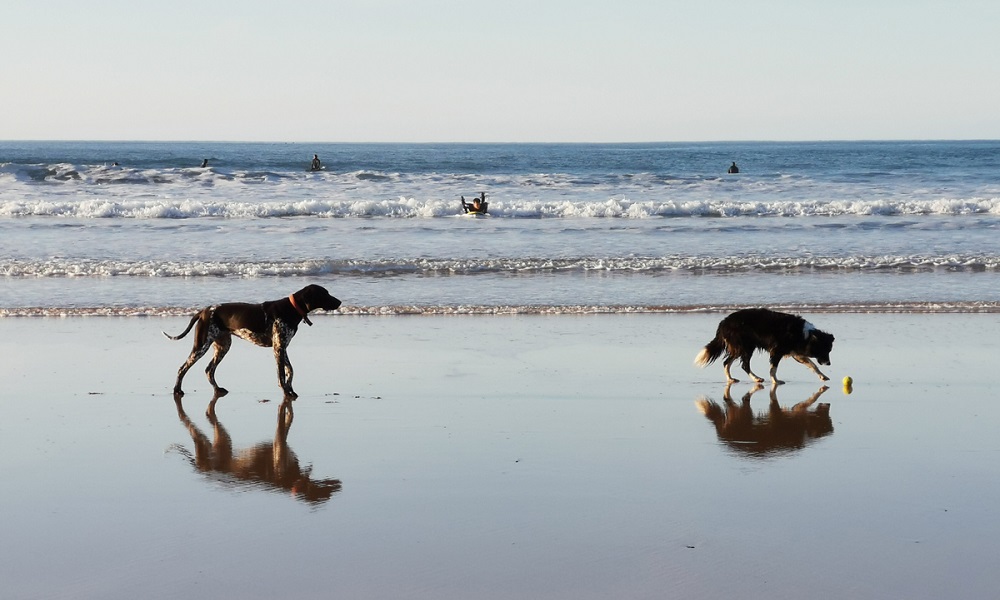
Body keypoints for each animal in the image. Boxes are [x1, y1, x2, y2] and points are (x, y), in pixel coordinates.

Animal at [161, 284, 340, 398]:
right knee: (183, 368)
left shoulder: (282, 347)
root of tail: (203, 311)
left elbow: (290, 370)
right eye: (325, 293)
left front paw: (291, 389)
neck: (292, 309)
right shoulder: (278, 348)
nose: (340, 302)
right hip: (201, 345)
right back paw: (177, 390)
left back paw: (217, 389)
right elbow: (281, 375)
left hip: (223, 346)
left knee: (209, 370)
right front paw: (286, 392)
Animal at [696, 310, 836, 384]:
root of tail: (723, 322)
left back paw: (730, 379)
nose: (829, 363)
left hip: (739, 348)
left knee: (726, 362)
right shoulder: (777, 351)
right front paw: (775, 381)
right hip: (746, 347)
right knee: (744, 365)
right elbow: (773, 368)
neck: (805, 335)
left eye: (829, 351)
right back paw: (756, 378)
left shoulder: (797, 353)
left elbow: (813, 365)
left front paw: (823, 376)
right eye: (825, 351)